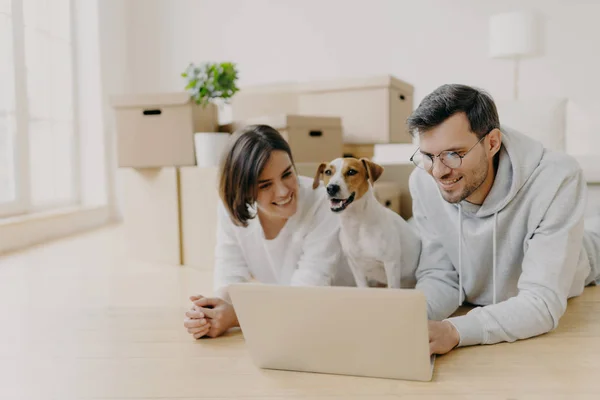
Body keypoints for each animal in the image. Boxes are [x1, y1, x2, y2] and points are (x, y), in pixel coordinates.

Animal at [314, 158, 422, 290]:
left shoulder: (391, 264)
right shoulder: (356, 267)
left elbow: (393, 287)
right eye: (328, 172)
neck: (357, 223)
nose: (331, 188)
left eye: (351, 171)